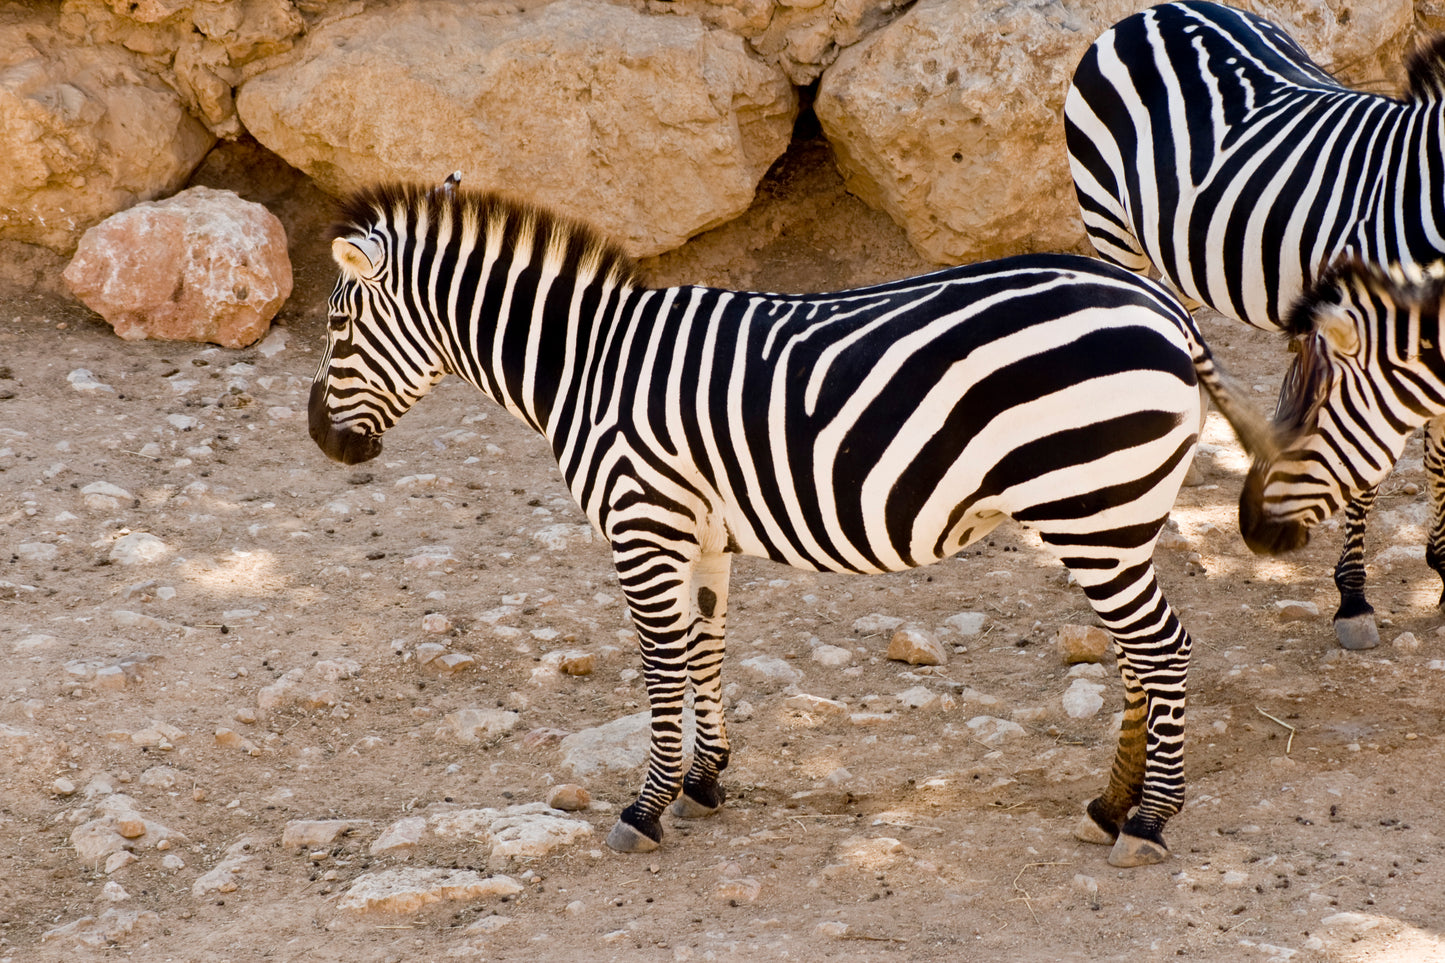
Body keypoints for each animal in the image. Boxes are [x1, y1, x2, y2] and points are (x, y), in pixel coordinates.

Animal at [308, 175, 1269, 868]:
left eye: (338, 325)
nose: (322, 440)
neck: (586, 366)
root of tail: (1159, 303)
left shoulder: (641, 520)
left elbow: (660, 665)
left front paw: (646, 806)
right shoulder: (699, 532)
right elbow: (705, 647)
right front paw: (704, 779)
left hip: (1088, 504)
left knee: (1164, 647)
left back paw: (1149, 820)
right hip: (1113, 512)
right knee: (1138, 653)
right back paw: (1109, 804)